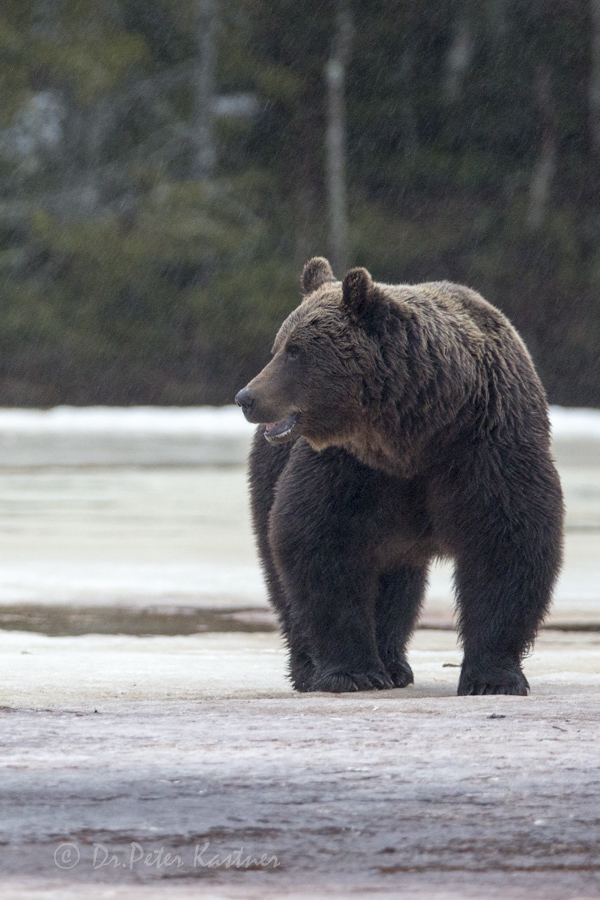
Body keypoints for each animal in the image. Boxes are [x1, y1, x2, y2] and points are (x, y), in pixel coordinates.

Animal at [234, 256, 564, 692]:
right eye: (279, 346)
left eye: (295, 351)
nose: (247, 397)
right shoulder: (349, 468)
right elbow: (318, 542)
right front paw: (351, 671)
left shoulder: (487, 447)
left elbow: (506, 544)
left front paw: (493, 677)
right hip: (273, 473)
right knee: (281, 571)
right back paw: (312, 668)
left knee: (398, 584)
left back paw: (394, 663)